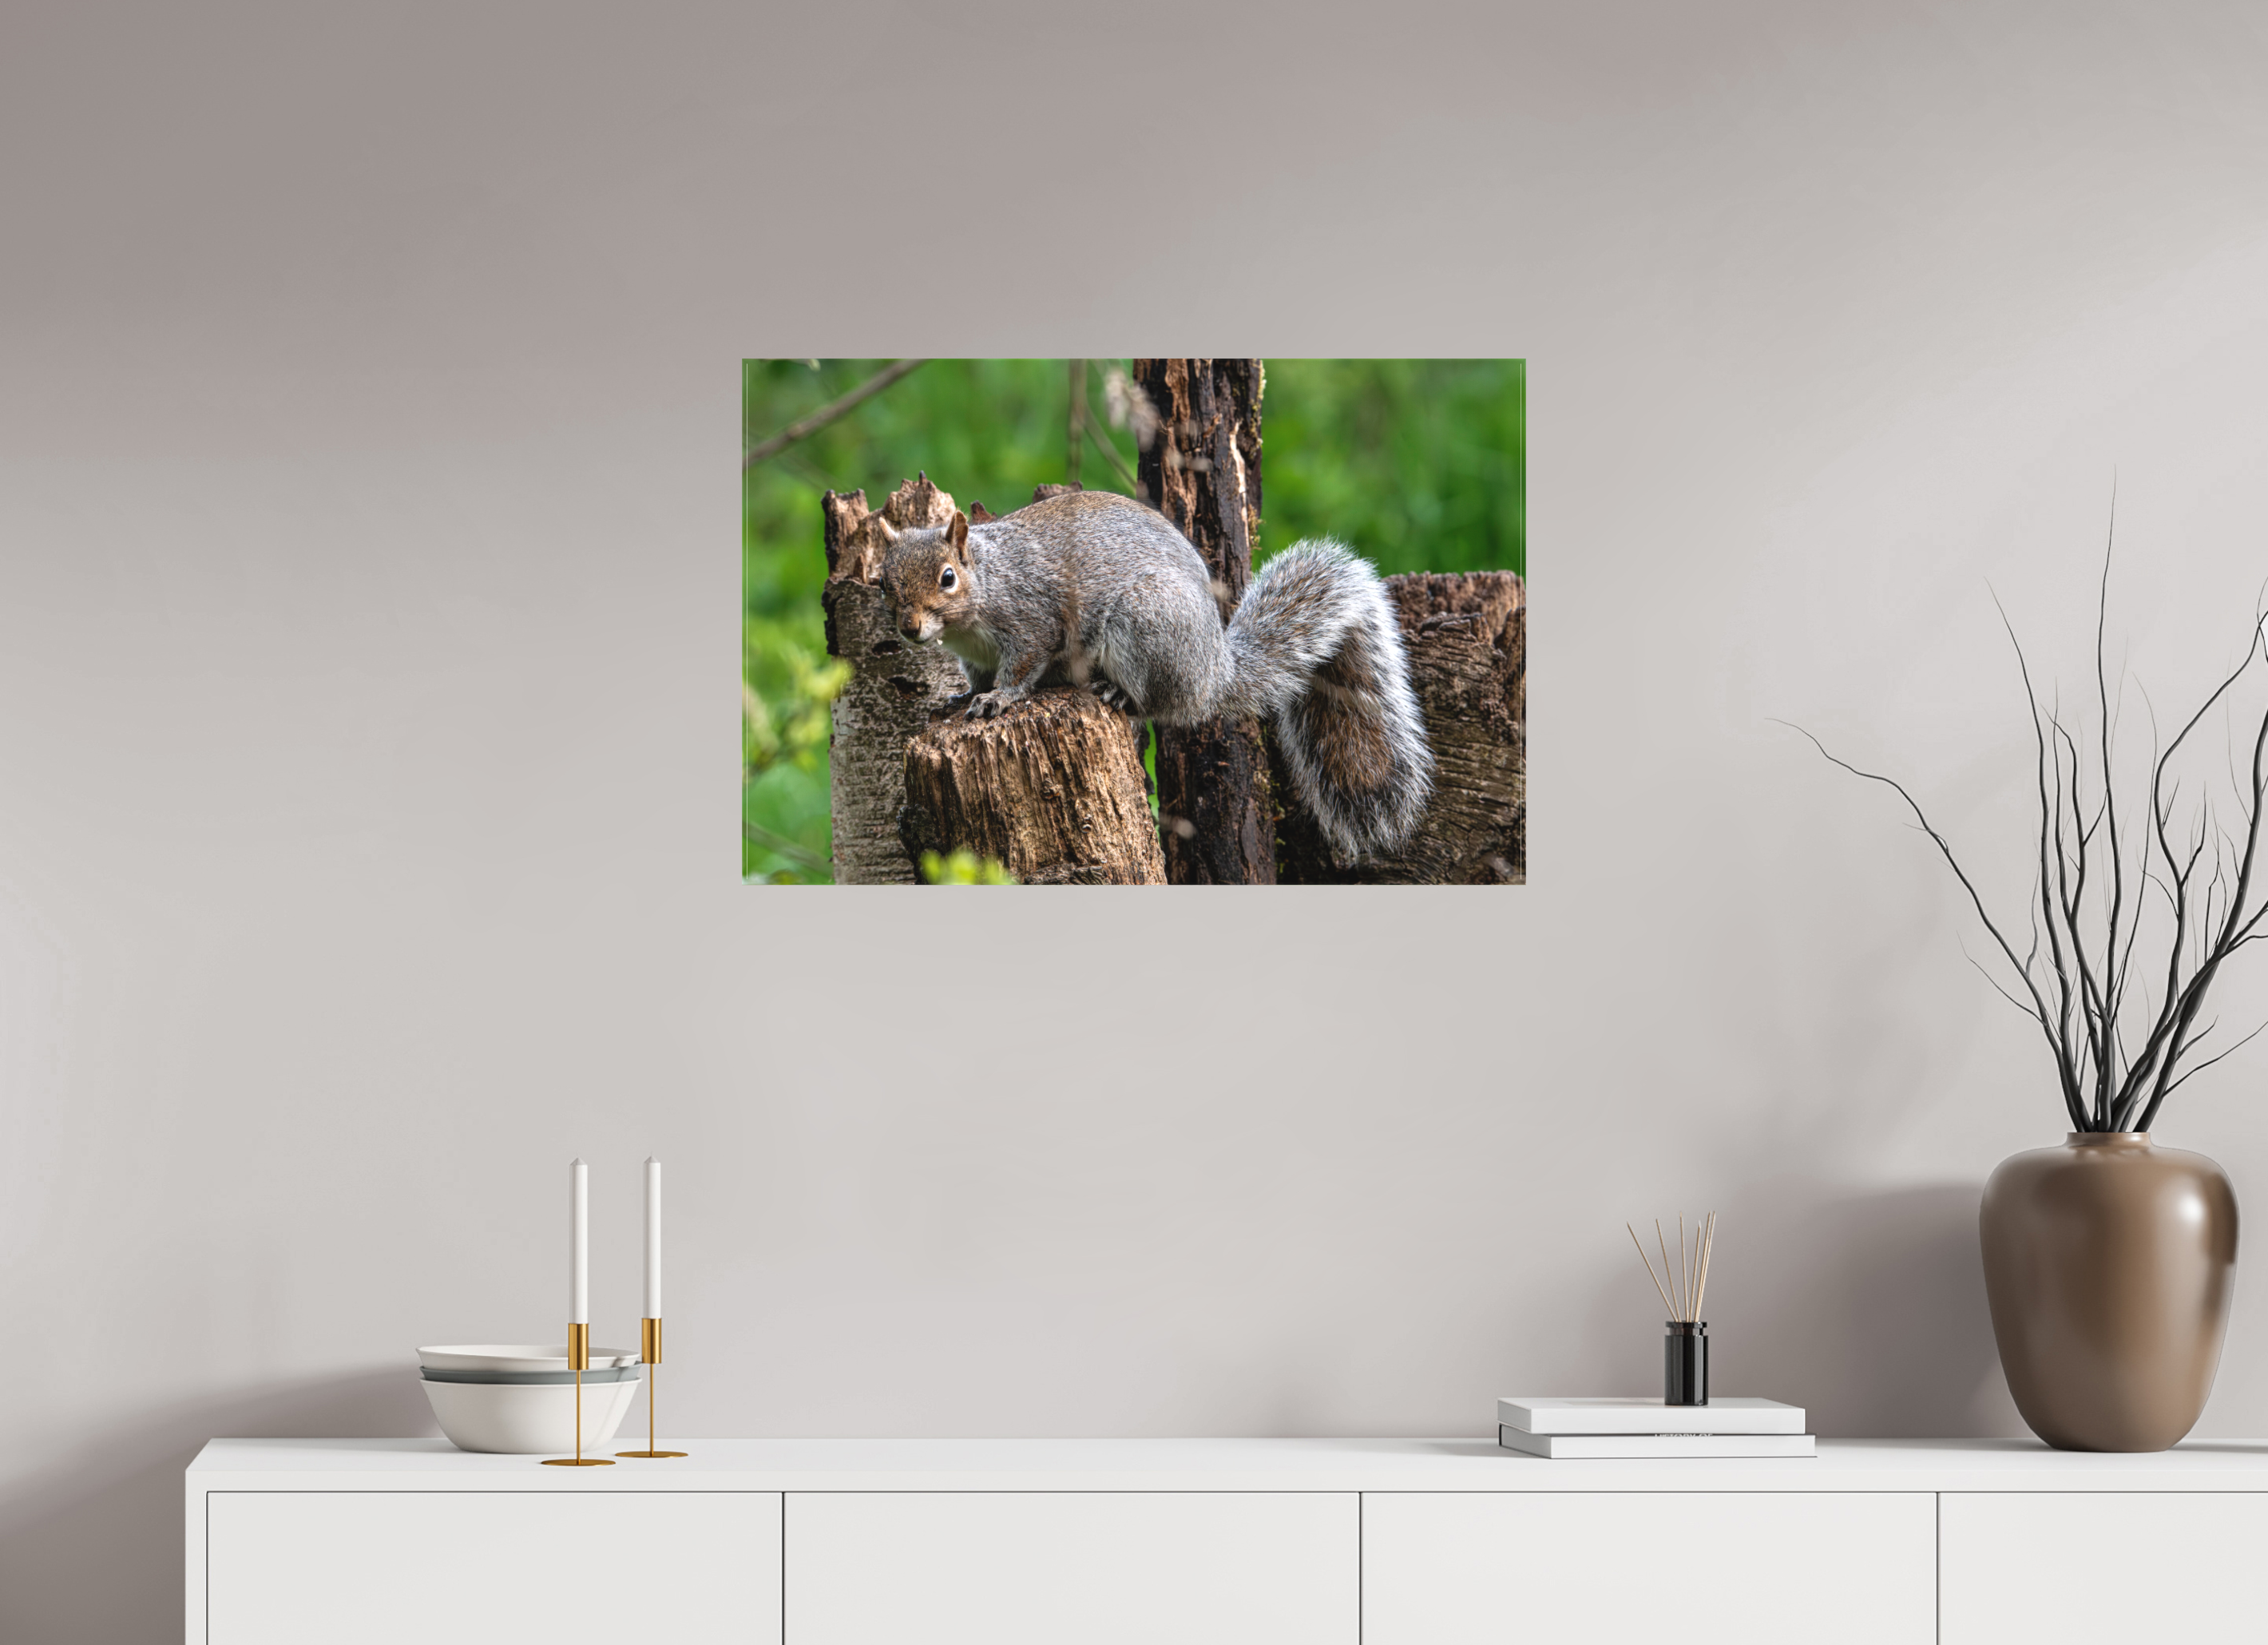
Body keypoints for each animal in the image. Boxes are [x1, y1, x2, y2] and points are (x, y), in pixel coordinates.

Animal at [873, 489, 1432, 858]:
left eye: (948, 578)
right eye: (882, 582)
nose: (910, 628)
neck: (985, 587)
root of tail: (1213, 673)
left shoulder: (1031, 621)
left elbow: (1023, 667)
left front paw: (1000, 699)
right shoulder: (974, 657)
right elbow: (974, 679)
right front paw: (956, 700)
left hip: (1145, 627)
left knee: (1158, 704)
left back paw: (1119, 695)